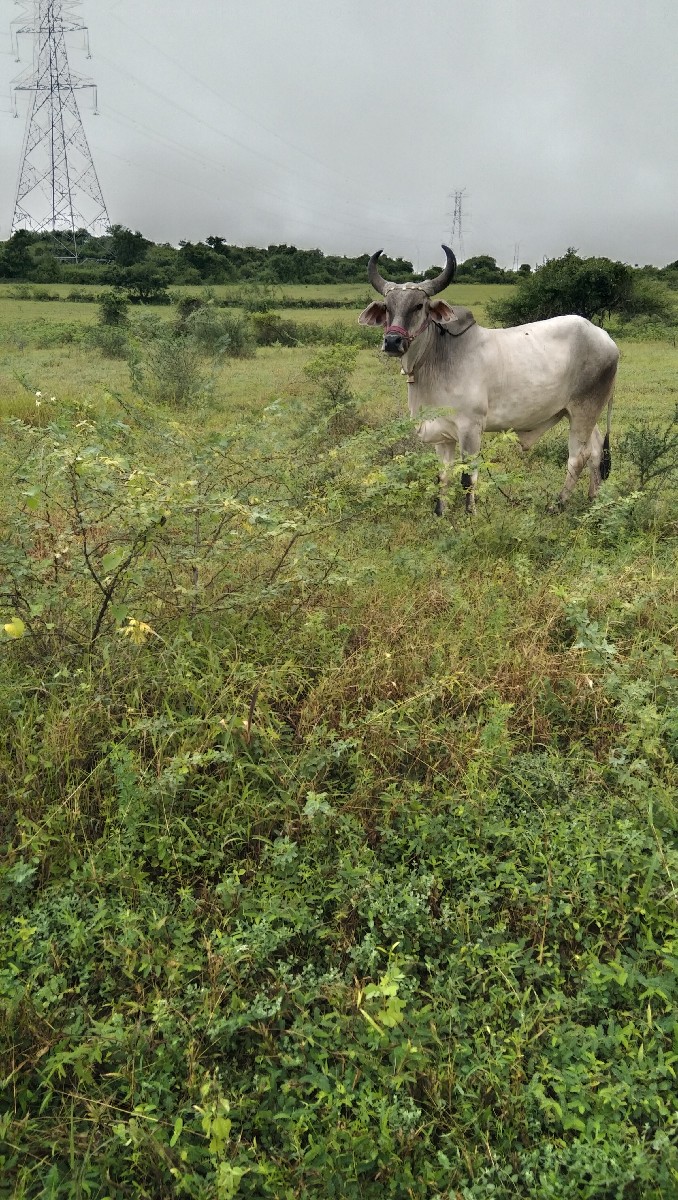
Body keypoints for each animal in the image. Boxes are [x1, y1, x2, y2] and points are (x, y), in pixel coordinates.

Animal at [359, 246, 619, 514]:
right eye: (387, 307)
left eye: (419, 305)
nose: (392, 341)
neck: (435, 360)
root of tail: (606, 337)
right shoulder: (442, 435)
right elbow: (443, 476)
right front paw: (440, 513)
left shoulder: (470, 429)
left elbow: (468, 478)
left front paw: (470, 514)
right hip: (579, 412)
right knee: (595, 451)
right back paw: (594, 500)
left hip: (584, 410)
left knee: (578, 458)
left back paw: (558, 504)